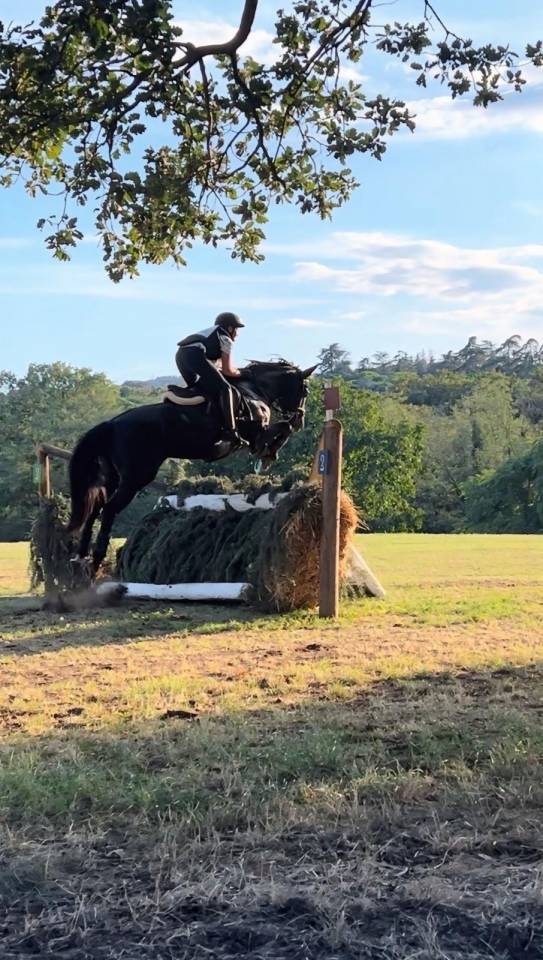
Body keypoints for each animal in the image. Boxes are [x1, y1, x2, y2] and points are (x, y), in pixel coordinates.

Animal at [67, 360, 318, 574]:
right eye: (305, 391)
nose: (301, 420)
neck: (255, 391)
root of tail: (112, 424)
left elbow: (281, 428)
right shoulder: (256, 433)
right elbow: (281, 429)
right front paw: (269, 453)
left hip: (112, 478)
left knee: (95, 508)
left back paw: (82, 555)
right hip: (136, 477)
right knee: (109, 509)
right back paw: (97, 558)